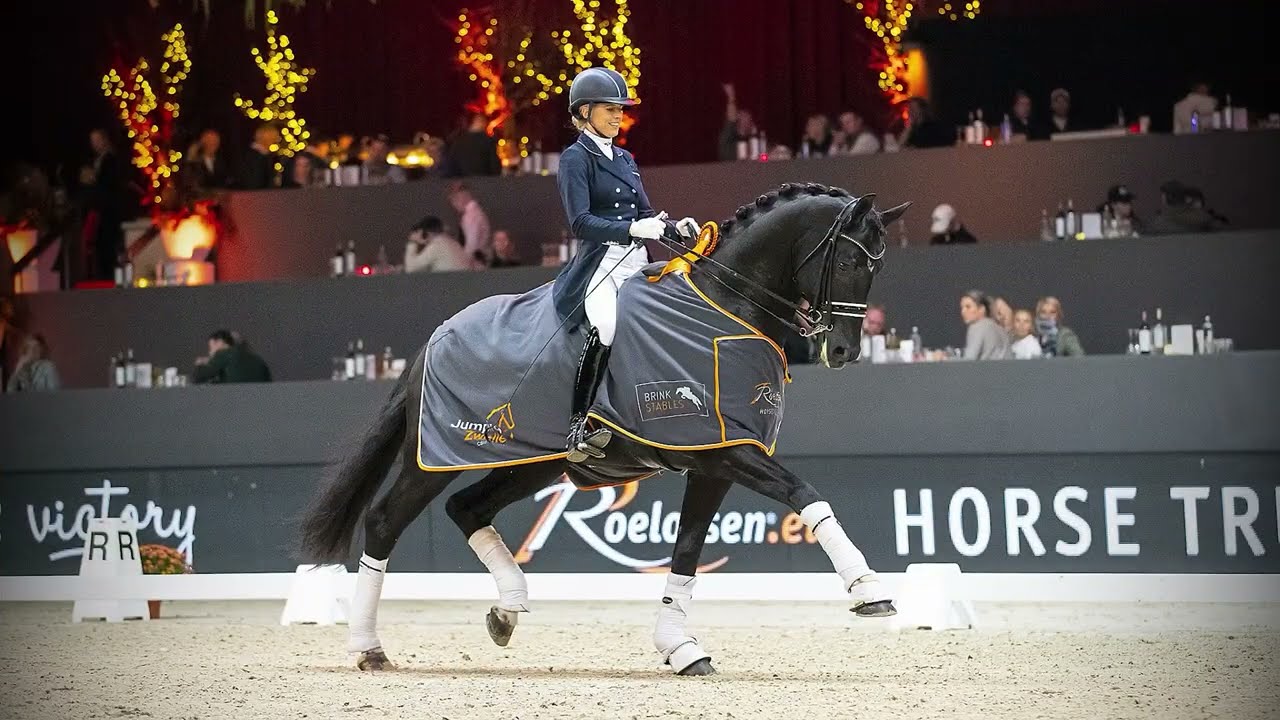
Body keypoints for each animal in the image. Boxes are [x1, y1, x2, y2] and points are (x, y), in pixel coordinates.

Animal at [297, 182, 909, 676]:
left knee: (467, 508)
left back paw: (507, 610)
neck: (727, 308)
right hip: (438, 455)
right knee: (385, 520)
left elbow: (687, 551)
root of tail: (435, 337)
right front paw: (869, 590)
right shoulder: (727, 450)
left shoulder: (715, 458)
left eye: (878, 268)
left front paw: (680, 647)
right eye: (849, 263)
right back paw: (369, 647)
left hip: (530, 461)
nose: (843, 352)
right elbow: (806, 493)